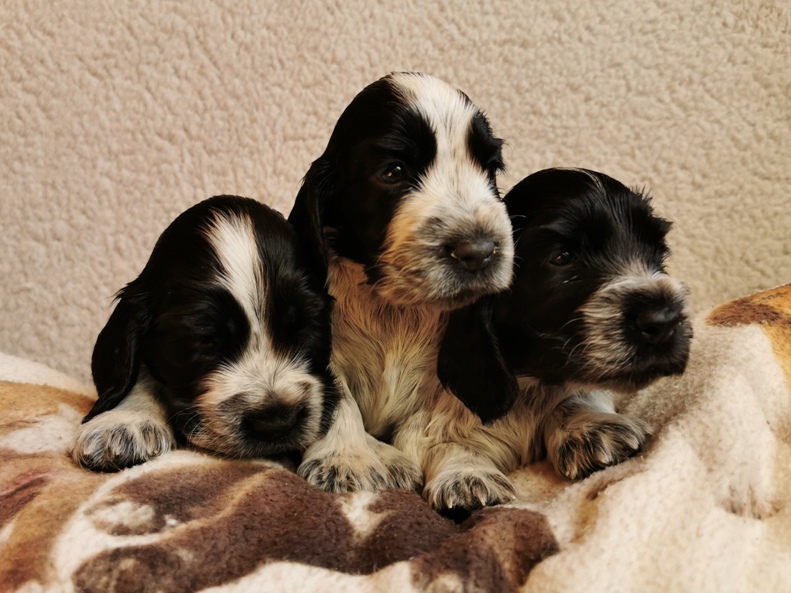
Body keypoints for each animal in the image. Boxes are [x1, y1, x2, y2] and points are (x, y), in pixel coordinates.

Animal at [288, 72, 515, 492]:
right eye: (393, 172)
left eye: (490, 170)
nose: (479, 251)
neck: (393, 306)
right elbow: (339, 400)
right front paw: (344, 460)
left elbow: (436, 425)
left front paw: (465, 471)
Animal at [399, 168, 693, 511]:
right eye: (562, 258)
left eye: (657, 251)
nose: (664, 320)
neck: (530, 384)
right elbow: (439, 439)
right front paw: (465, 477)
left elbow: (577, 393)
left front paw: (590, 429)